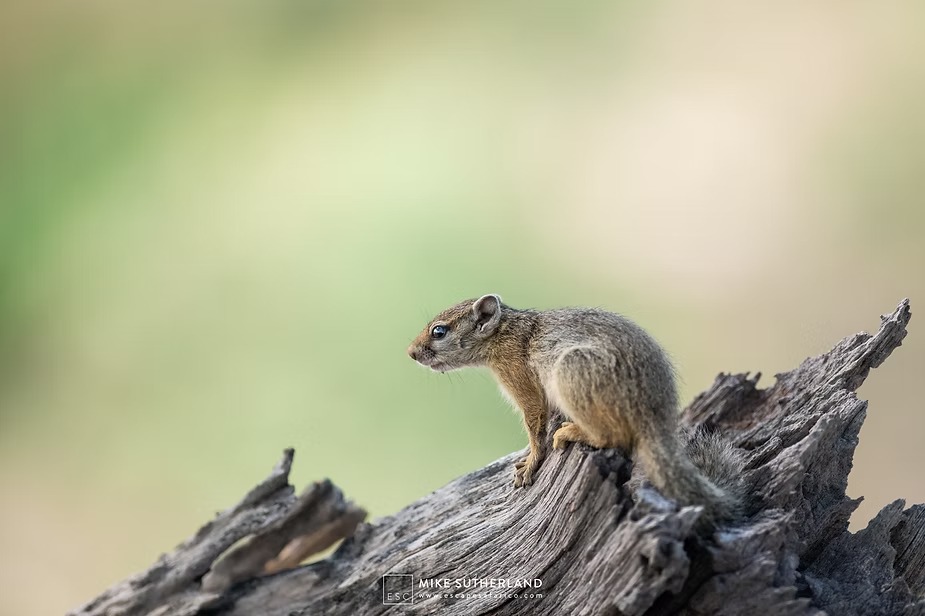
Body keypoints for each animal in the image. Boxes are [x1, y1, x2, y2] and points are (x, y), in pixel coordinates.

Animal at [407, 294, 744, 524]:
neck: (504, 333)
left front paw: (531, 462)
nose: (410, 352)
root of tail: (653, 417)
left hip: (573, 372)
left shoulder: (523, 383)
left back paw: (571, 433)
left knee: (613, 438)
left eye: (439, 331)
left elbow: (535, 425)